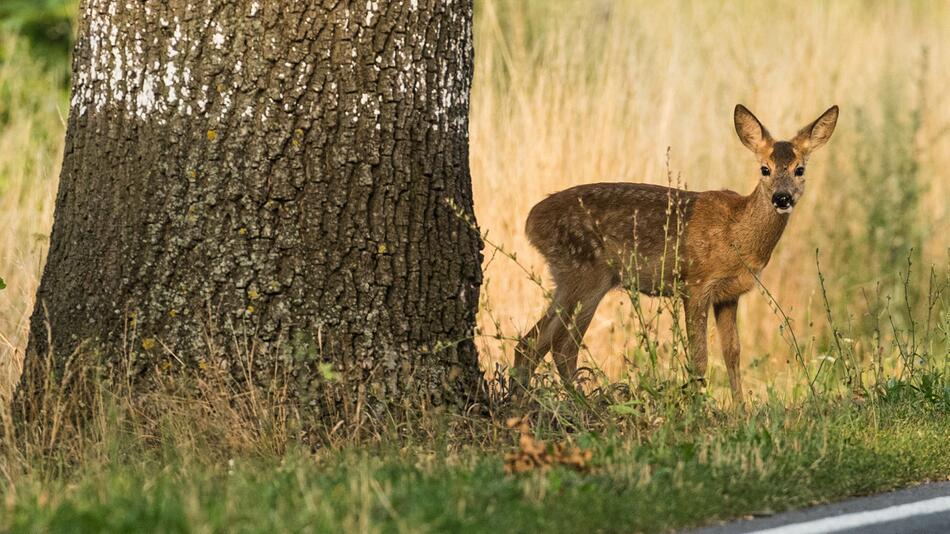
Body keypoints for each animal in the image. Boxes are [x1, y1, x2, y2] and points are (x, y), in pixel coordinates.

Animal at [512, 104, 840, 402]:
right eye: (765, 169)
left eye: (800, 170)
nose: (782, 198)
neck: (737, 234)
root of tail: (531, 221)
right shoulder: (695, 285)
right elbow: (699, 358)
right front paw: (700, 410)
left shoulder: (729, 294)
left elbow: (732, 354)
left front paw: (740, 412)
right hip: (585, 274)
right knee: (562, 346)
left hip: (570, 279)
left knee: (532, 343)